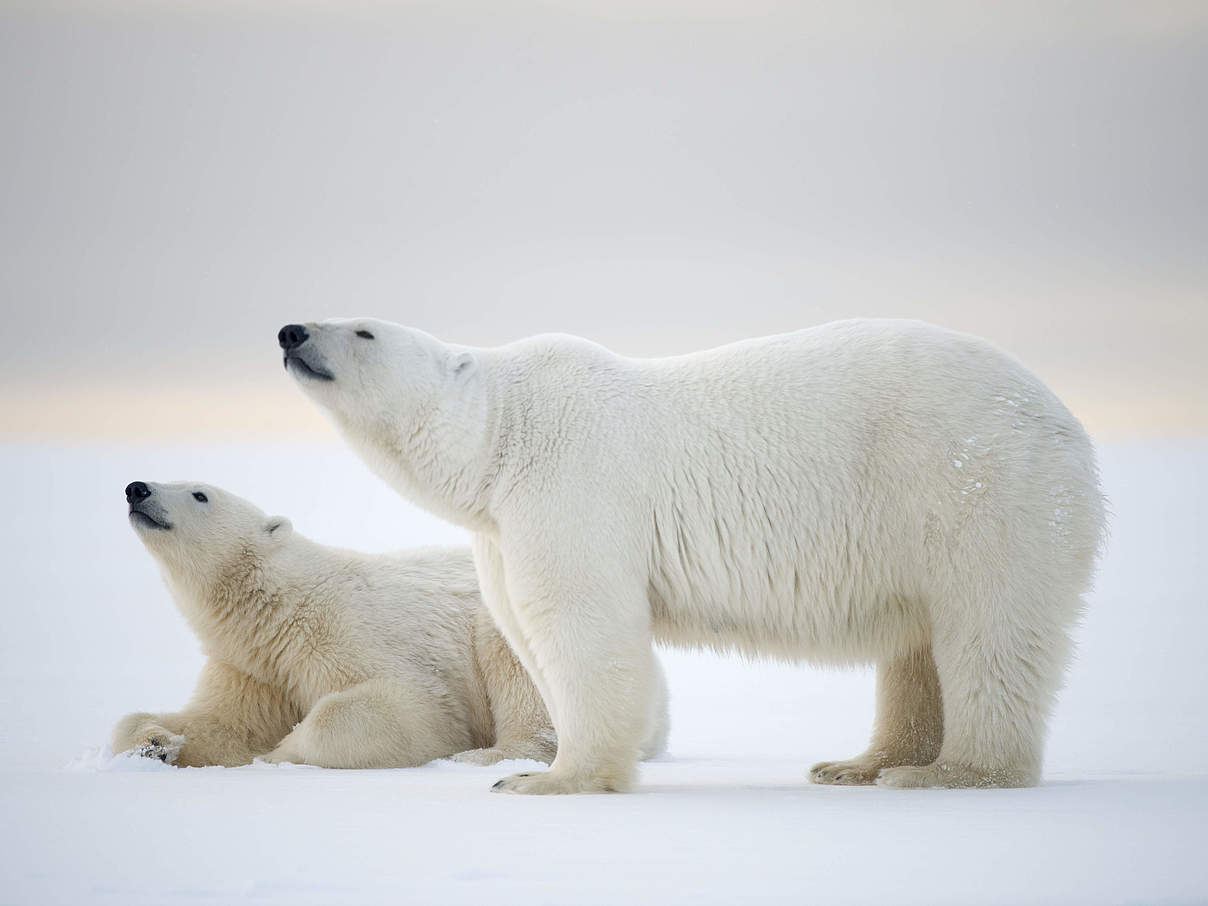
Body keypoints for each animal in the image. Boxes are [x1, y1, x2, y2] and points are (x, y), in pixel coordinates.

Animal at [112, 478, 671, 768]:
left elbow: (408, 706)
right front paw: (154, 744)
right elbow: (222, 723)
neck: (278, 609)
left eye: (200, 494)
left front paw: (281, 752)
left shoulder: (342, 626)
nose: (137, 488)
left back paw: (483, 756)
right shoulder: (253, 667)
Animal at [280, 316, 1106, 792]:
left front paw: (550, 781)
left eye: (363, 331)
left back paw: (956, 772)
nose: (290, 330)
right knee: (918, 644)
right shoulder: (501, 527)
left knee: (989, 630)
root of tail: (1066, 420)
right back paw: (859, 764)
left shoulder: (572, 482)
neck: (506, 434)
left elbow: (580, 623)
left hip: (979, 490)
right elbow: (526, 630)